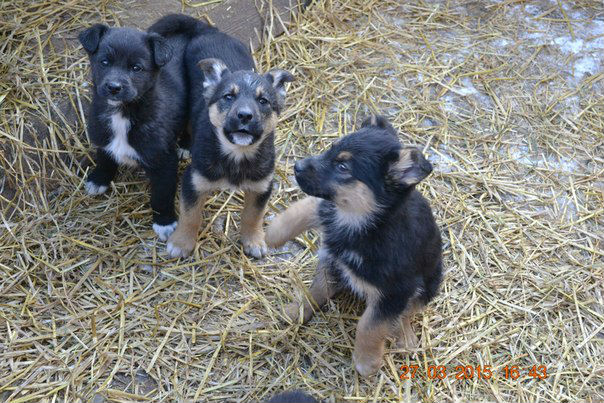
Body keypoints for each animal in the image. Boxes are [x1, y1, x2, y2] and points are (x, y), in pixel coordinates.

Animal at [79, 14, 209, 240]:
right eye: (104, 62)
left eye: (136, 68)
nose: (113, 87)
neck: (123, 114)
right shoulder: (103, 138)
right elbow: (104, 159)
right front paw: (99, 180)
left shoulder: (164, 161)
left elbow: (161, 195)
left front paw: (164, 222)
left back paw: (185, 145)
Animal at [166, 25, 294, 259]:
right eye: (228, 97)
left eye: (263, 101)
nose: (245, 116)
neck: (237, 153)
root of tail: (209, 29)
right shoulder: (193, 181)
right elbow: (190, 215)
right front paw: (181, 243)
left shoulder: (262, 186)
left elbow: (253, 216)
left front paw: (254, 241)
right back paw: (186, 145)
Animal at [265, 115, 443, 376]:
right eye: (330, 150)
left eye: (343, 167)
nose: (296, 166)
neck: (366, 225)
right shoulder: (331, 228)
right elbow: (306, 209)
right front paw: (271, 234)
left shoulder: (394, 293)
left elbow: (370, 325)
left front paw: (366, 361)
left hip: (430, 283)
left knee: (408, 312)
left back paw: (406, 337)